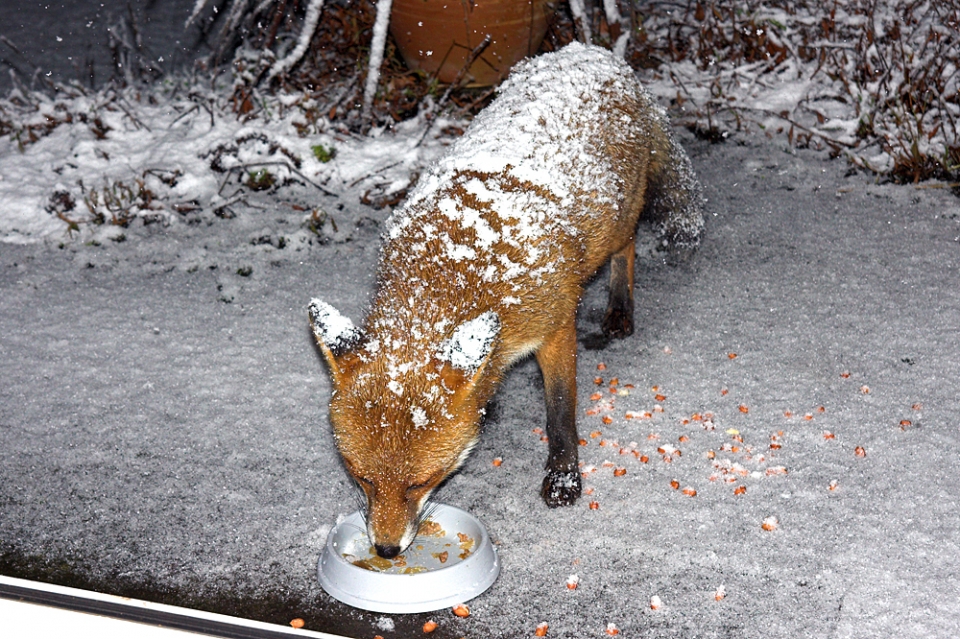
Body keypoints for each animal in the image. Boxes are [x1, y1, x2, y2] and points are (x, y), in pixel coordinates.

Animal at [312, 41, 700, 560]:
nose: (387, 551)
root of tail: (592, 51)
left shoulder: (555, 327)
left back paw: (620, 309)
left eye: (421, 482)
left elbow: (560, 414)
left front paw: (564, 478)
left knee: (629, 245)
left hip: (617, 223)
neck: (454, 267)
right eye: (363, 479)